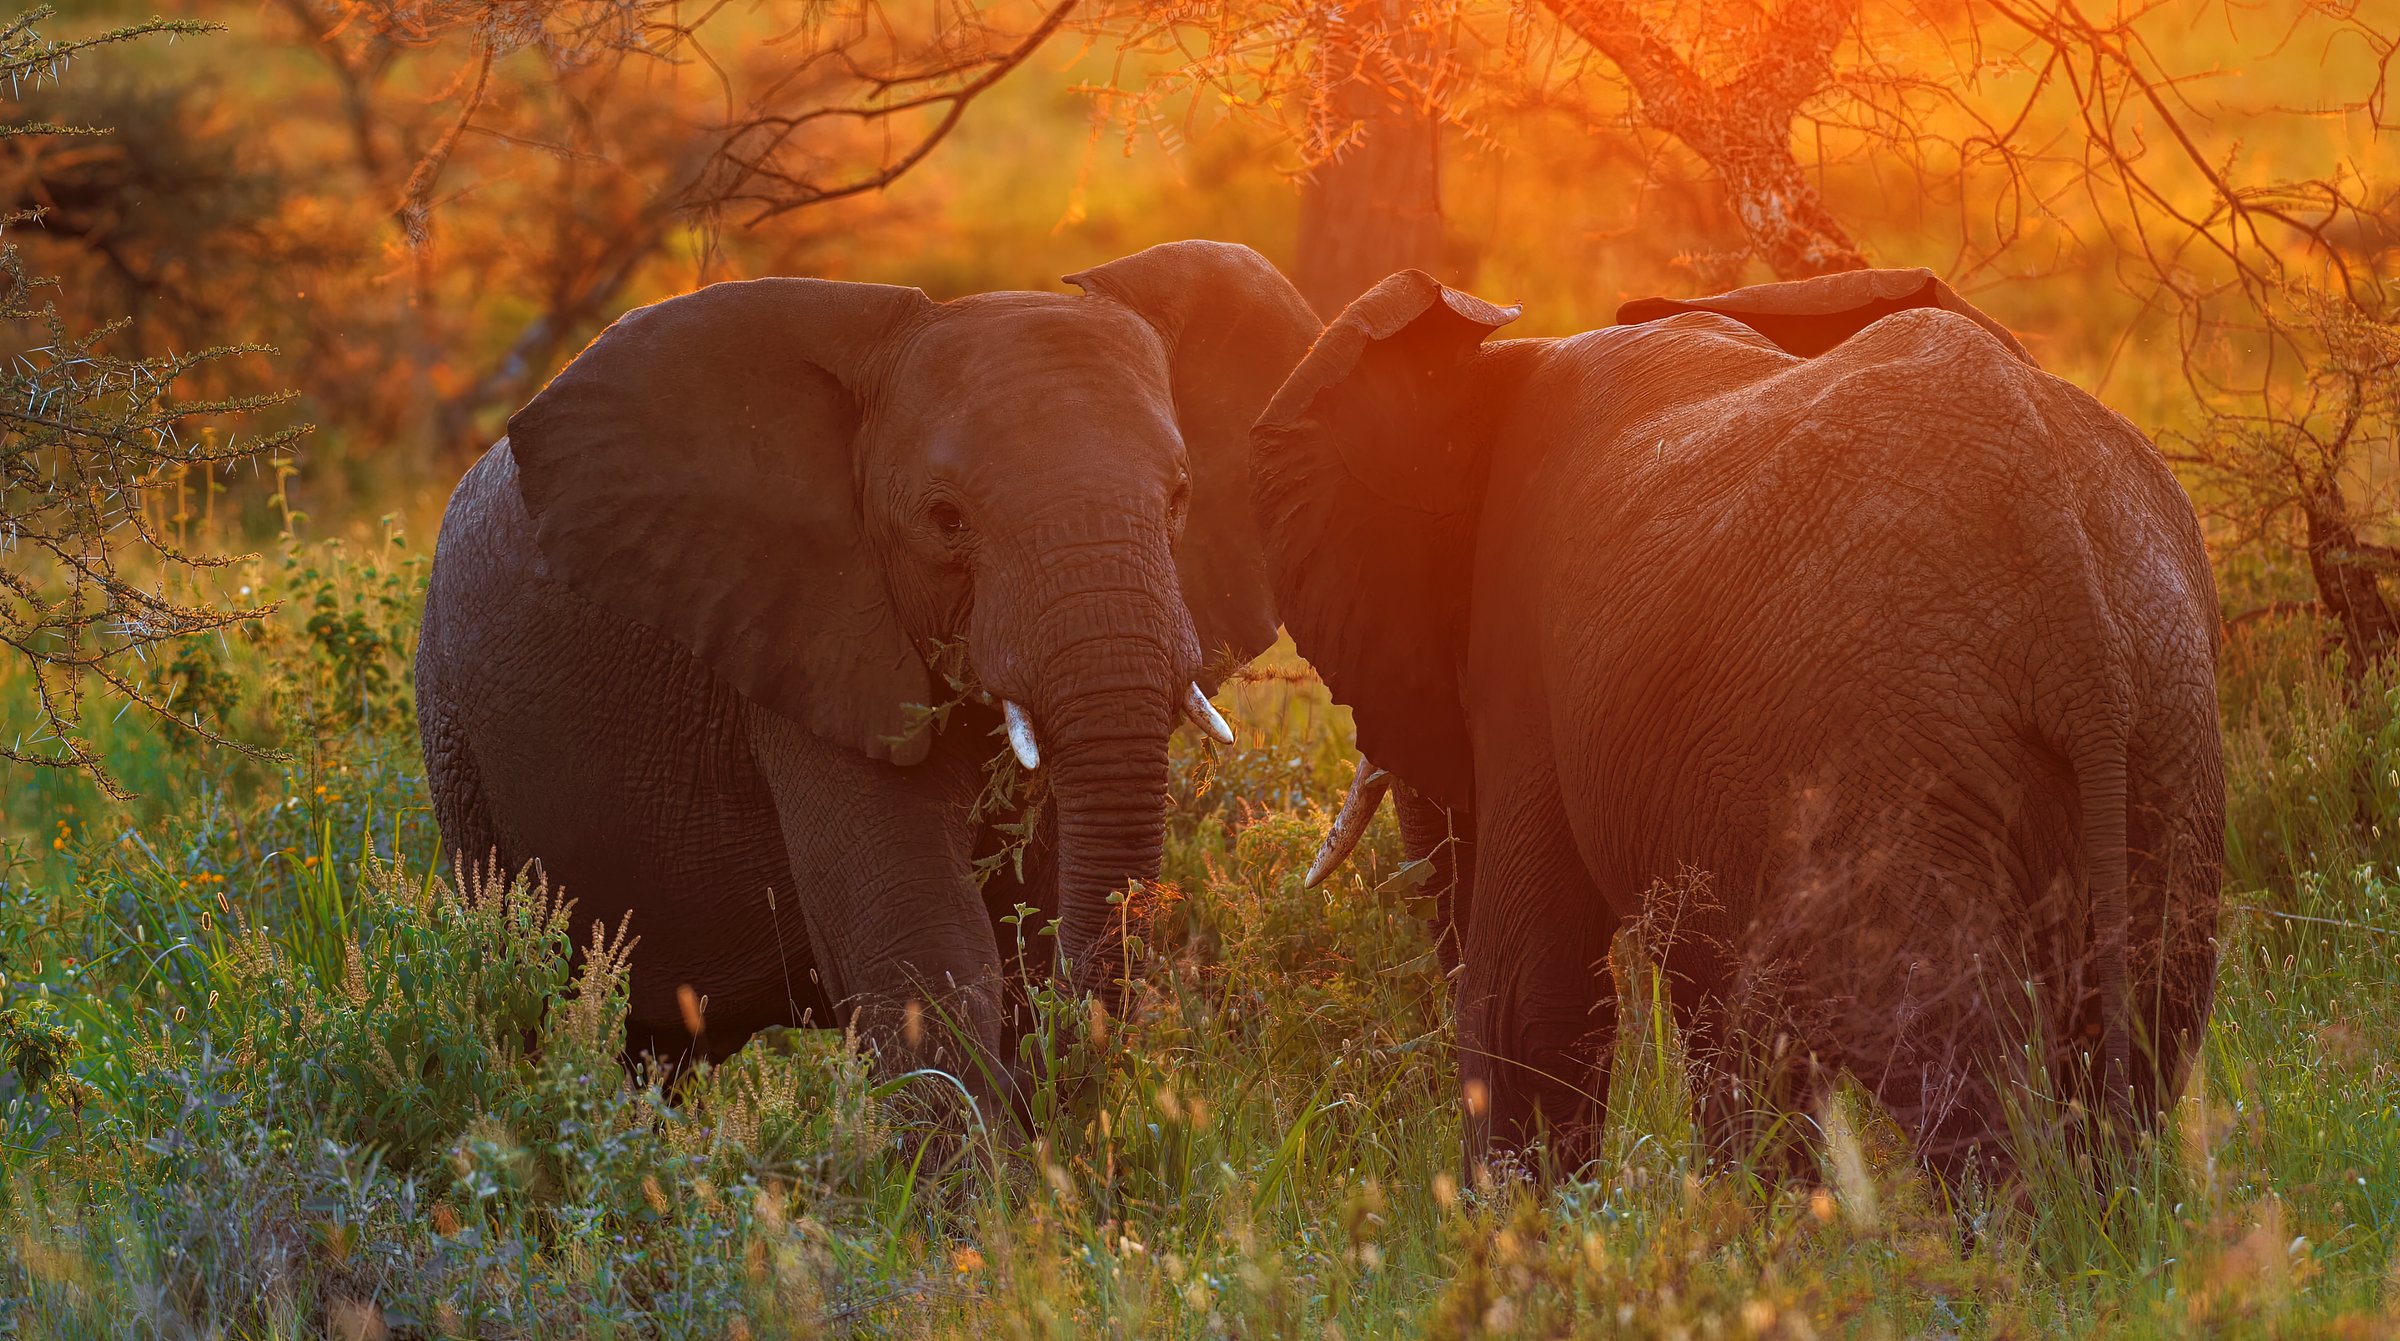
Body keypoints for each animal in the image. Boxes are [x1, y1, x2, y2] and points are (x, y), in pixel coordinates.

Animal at [415, 240, 1321, 1105]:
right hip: (456, 733)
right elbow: (922, 947)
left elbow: (1032, 920)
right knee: (521, 988)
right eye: (946, 520)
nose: (1034, 1090)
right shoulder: (802, 647)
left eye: (1180, 498)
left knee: (662, 1050)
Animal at [1257, 266, 2225, 1182]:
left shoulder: (1527, 672)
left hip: (1899, 769)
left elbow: (1529, 1000)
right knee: (2141, 1029)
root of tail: (2073, 598)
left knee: (1949, 1059)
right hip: (2167, 732)